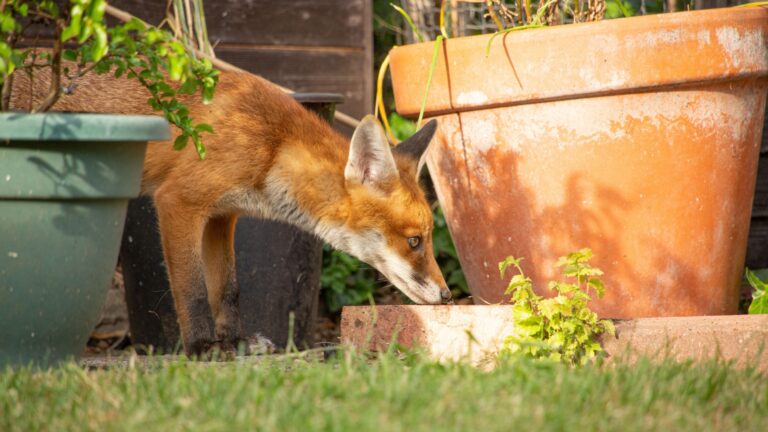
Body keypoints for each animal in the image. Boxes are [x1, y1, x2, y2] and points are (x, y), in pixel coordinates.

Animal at [10, 69, 452, 356]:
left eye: (426, 239)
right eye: (415, 241)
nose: (448, 296)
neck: (272, 145)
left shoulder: (222, 218)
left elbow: (228, 289)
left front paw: (235, 341)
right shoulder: (179, 201)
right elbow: (192, 289)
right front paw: (202, 347)